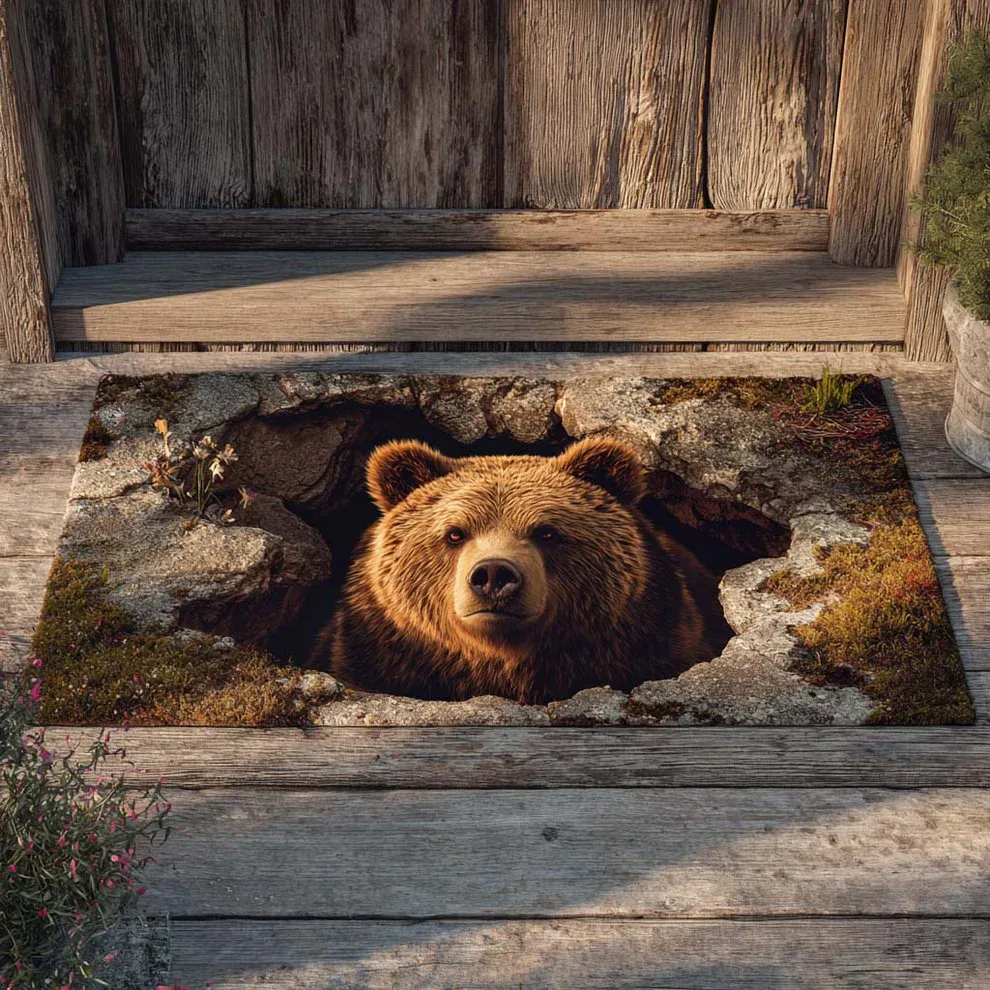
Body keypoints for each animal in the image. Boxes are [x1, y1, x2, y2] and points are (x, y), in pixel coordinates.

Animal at [314, 436, 726, 705]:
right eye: (455, 533)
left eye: (547, 531)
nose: (494, 574)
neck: (504, 663)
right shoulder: (378, 652)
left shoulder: (652, 638)